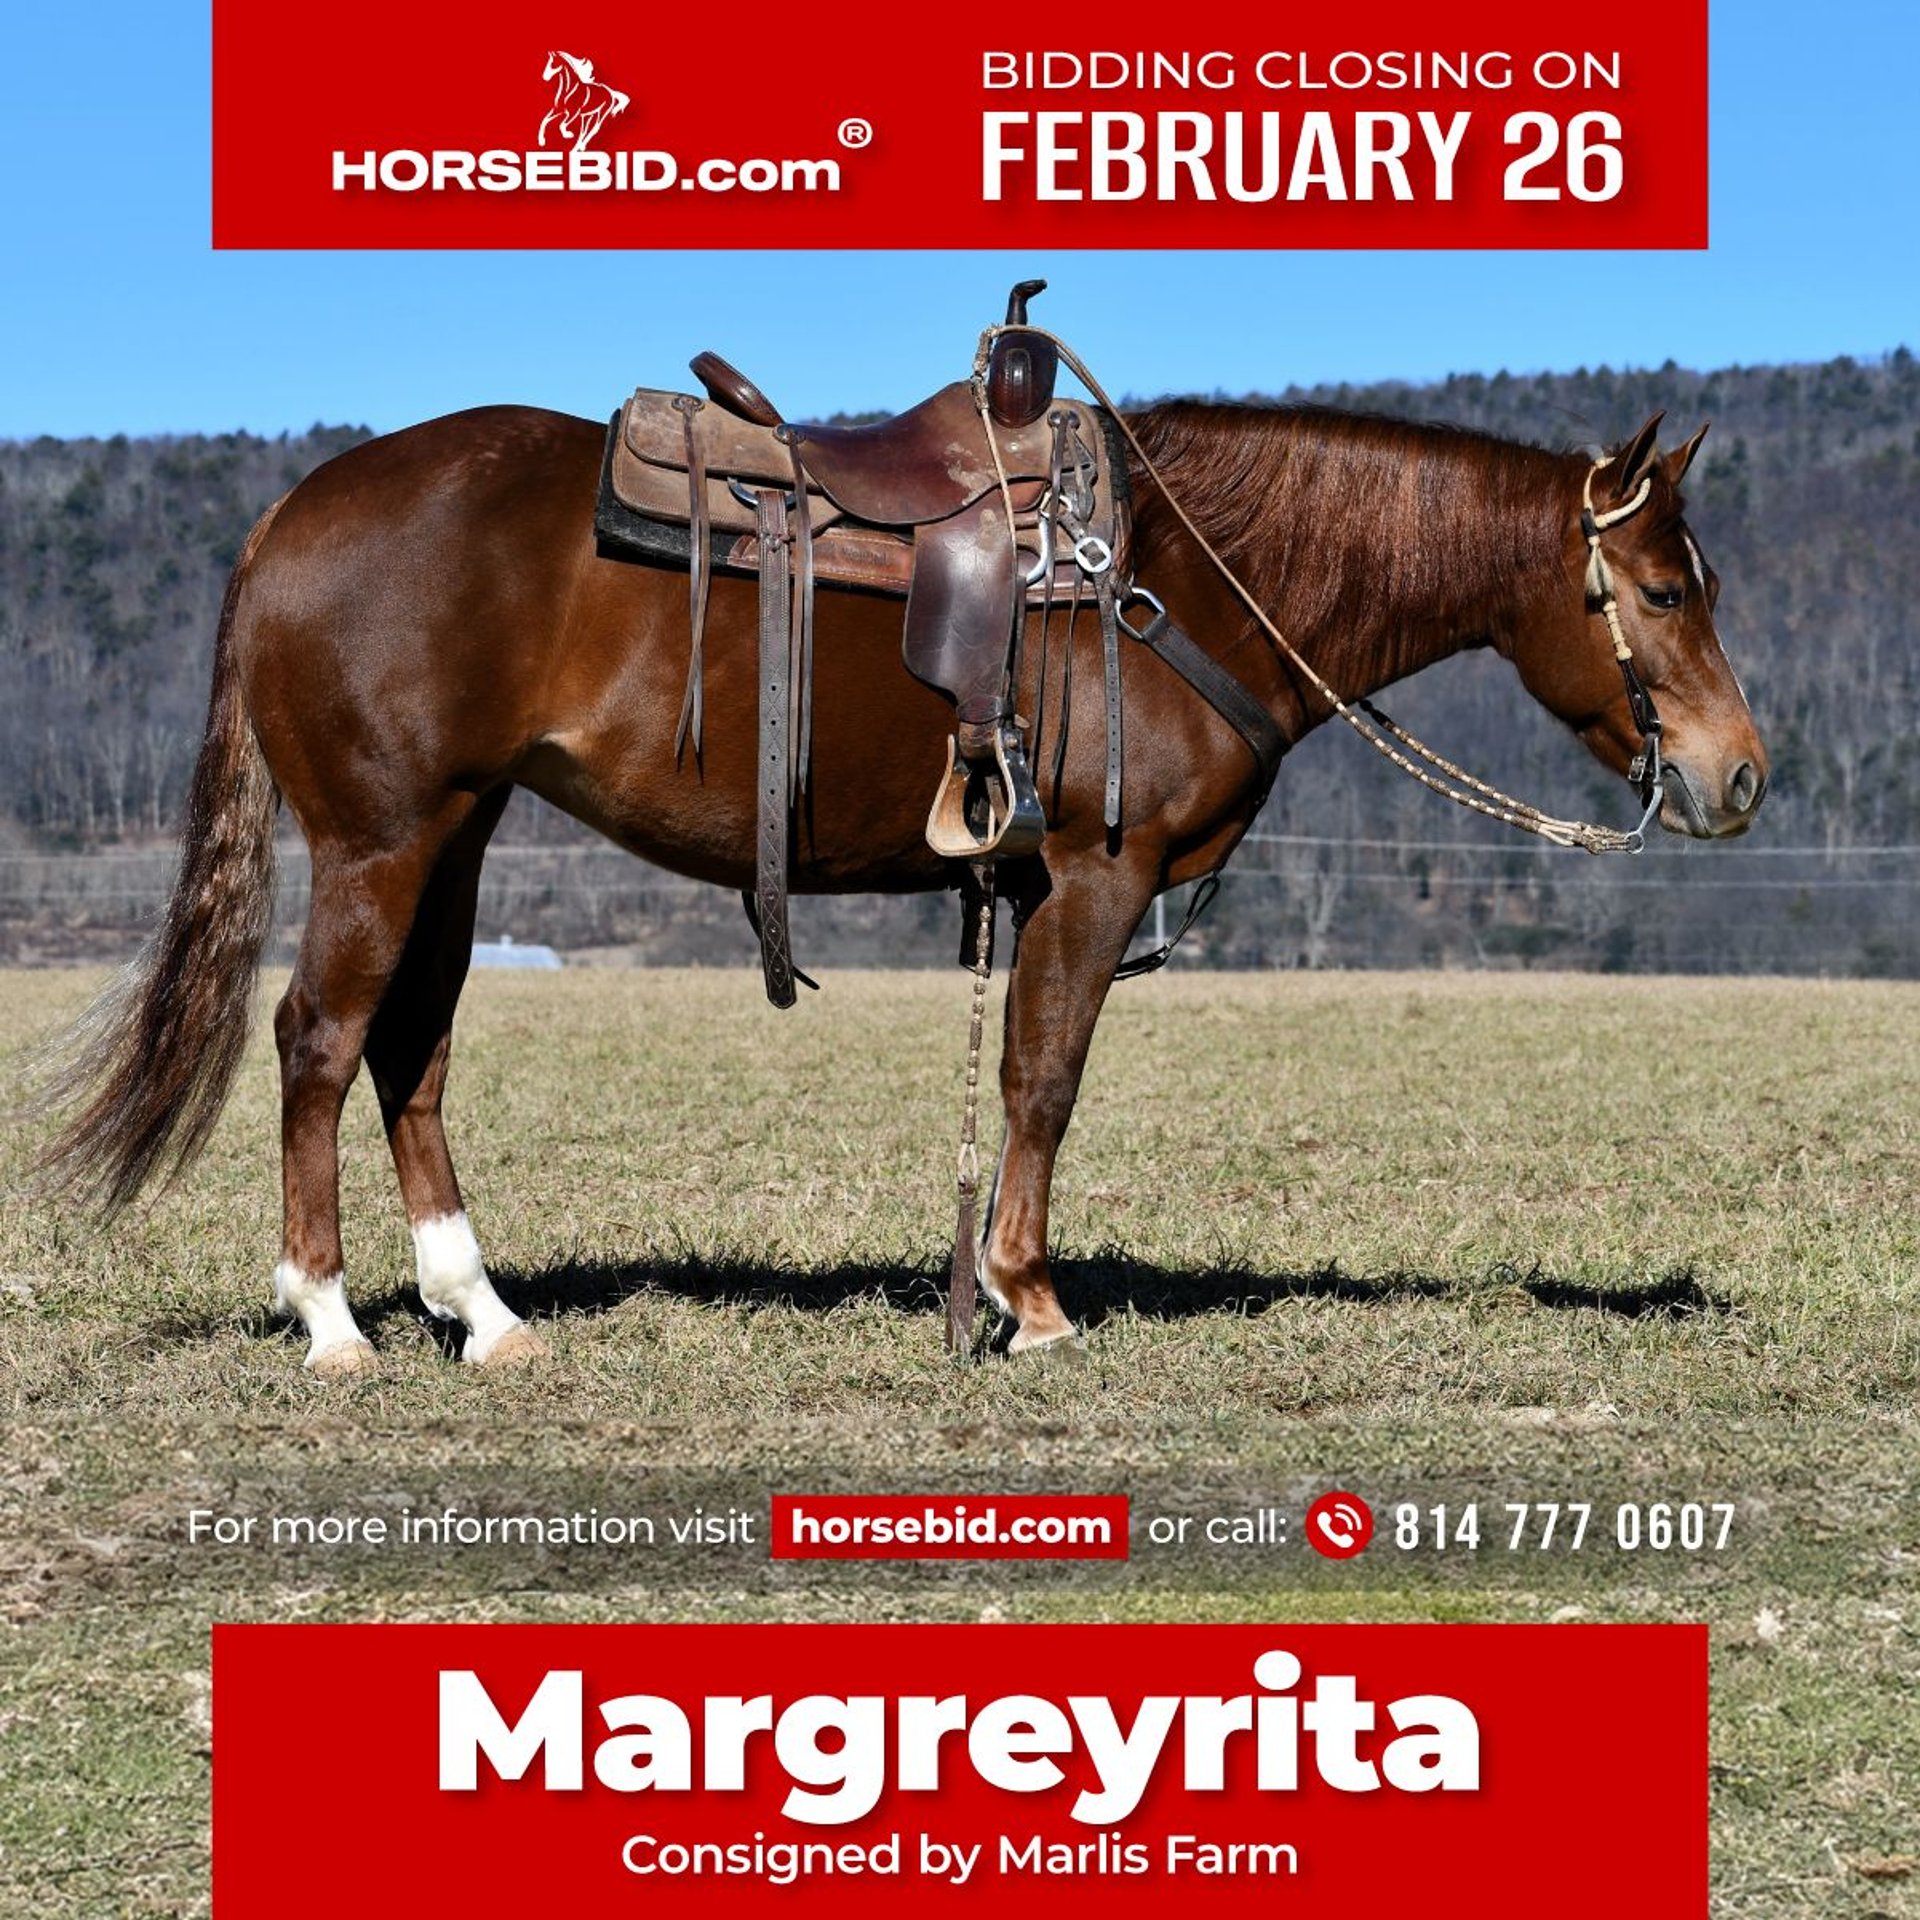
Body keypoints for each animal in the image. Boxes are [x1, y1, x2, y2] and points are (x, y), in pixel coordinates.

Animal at [38, 394, 1767, 1373]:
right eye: (1660, 587)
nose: (1742, 777)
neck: (1186, 580)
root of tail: (287, 516)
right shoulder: (1095, 878)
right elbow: (1045, 1081)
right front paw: (1033, 1301)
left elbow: (1015, 1080)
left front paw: (993, 1291)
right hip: (382, 842)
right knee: (322, 1044)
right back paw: (331, 1322)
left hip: (456, 835)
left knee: (412, 1051)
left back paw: (484, 1313)